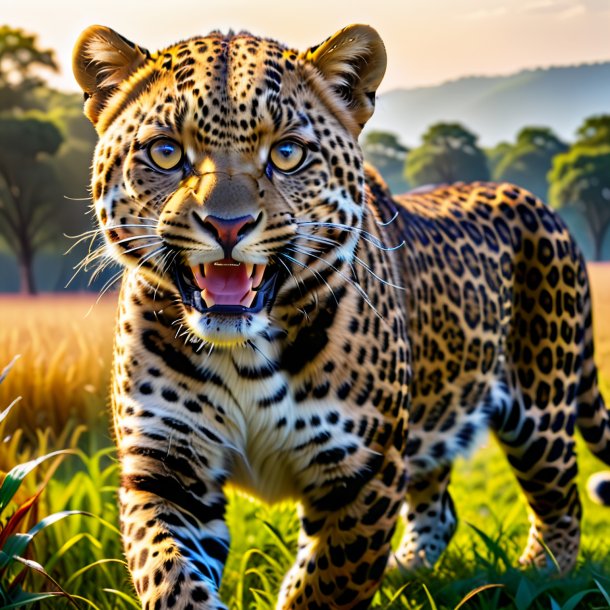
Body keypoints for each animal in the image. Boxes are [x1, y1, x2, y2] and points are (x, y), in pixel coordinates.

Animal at [72, 22, 608, 608]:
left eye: (287, 153)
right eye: (166, 153)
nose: (228, 225)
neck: (245, 354)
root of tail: (541, 205)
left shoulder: (364, 473)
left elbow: (328, 583)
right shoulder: (166, 468)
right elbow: (169, 577)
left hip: (540, 406)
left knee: (561, 502)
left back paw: (542, 574)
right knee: (440, 506)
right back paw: (408, 568)